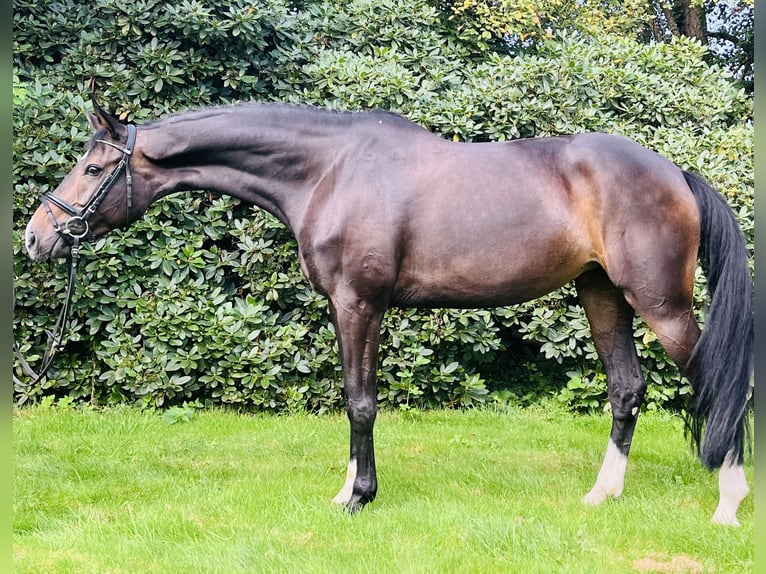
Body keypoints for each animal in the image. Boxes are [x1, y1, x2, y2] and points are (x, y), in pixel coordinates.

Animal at [21, 98, 752, 528]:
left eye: (92, 170)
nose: (35, 237)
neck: (328, 170)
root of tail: (675, 173)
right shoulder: (351, 308)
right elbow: (355, 395)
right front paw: (348, 486)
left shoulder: (358, 302)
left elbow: (360, 402)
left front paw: (358, 497)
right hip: (602, 295)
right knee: (627, 389)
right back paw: (604, 495)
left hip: (660, 304)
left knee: (723, 384)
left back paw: (729, 505)